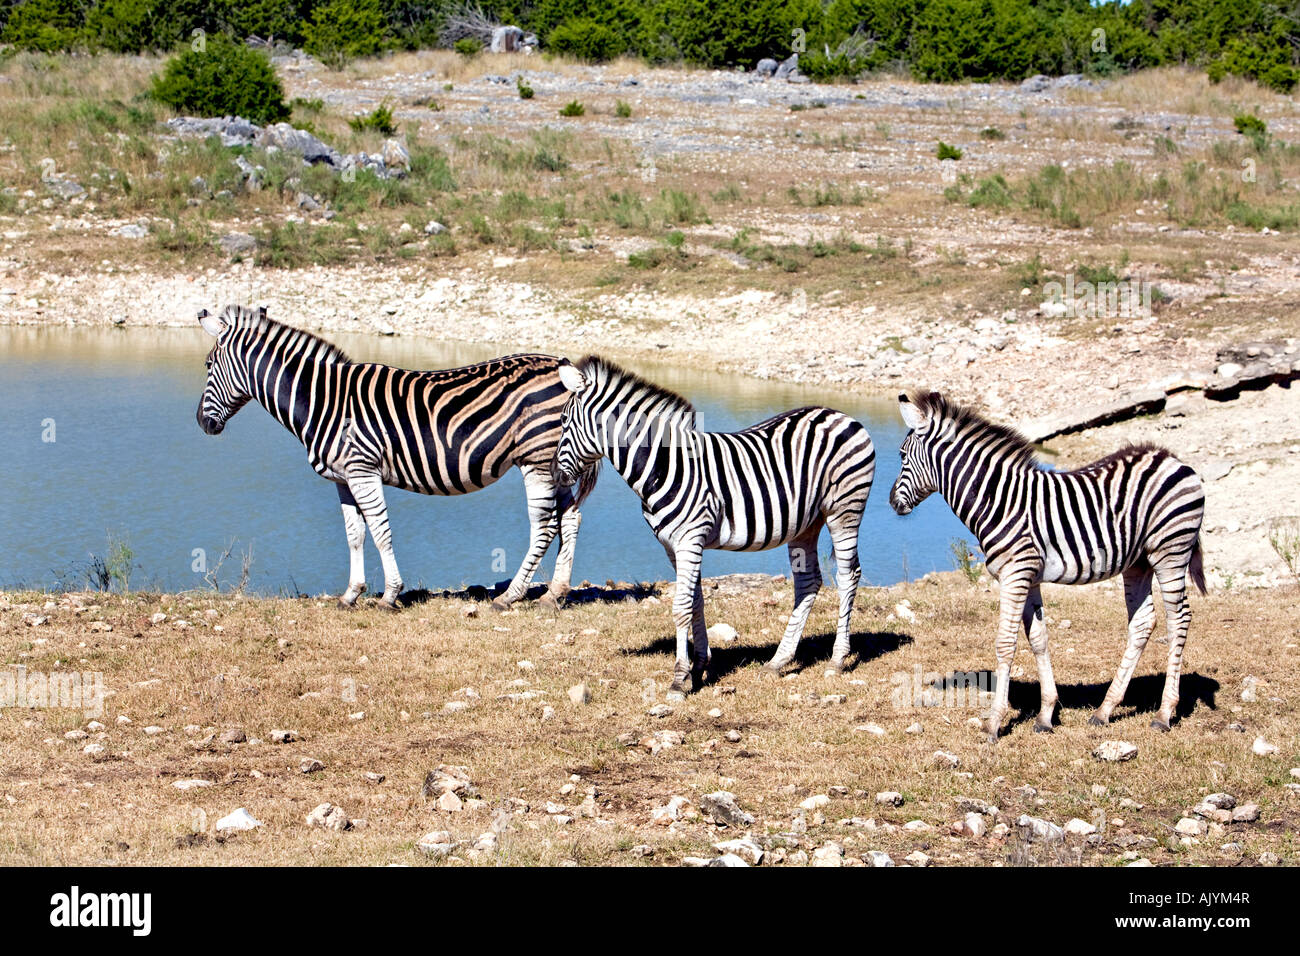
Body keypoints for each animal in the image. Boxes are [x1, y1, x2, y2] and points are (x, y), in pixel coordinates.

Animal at [195, 304, 597, 611]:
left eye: (208, 364)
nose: (201, 423)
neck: (322, 400)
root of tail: (569, 374)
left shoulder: (362, 470)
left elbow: (380, 530)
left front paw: (389, 595)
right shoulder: (343, 478)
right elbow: (354, 534)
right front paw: (350, 594)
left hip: (536, 460)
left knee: (544, 525)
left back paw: (511, 596)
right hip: (556, 464)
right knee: (570, 518)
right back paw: (554, 594)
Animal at [553, 356, 875, 696]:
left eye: (563, 420)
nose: (556, 477)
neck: (664, 465)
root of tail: (840, 414)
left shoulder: (690, 539)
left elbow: (681, 606)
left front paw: (679, 679)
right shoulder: (673, 546)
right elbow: (696, 601)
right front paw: (700, 667)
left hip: (845, 509)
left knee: (848, 575)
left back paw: (837, 660)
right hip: (807, 523)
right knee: (808, 582)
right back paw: (778, 662)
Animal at [888, 390, 1206, 742]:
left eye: (901, 456)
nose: (890, 502)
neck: (998, 500)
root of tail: (1171, 458)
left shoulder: (1014, 575)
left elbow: (1005, 643)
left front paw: (994, 723)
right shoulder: (1029, 577)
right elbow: (1038, 639)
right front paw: (1045, 715)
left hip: (1171, 551)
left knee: (1179, 620)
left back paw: (1164, 713)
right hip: (1139, 562)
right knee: (1143, 623)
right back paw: (1104, 710)